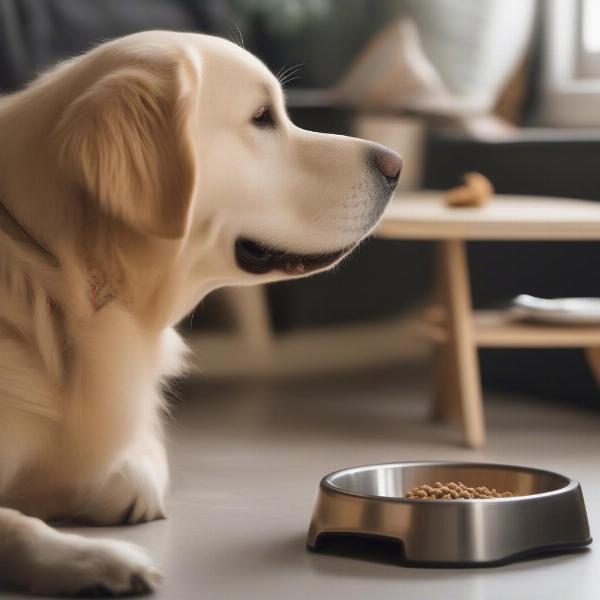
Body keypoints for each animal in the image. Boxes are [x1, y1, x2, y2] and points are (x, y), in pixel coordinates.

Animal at [0, 30, 404, 592]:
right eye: (262, 117)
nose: (397, 165)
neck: (61, 274)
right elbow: (18, 522)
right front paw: (95, 560)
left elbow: (131, 473)